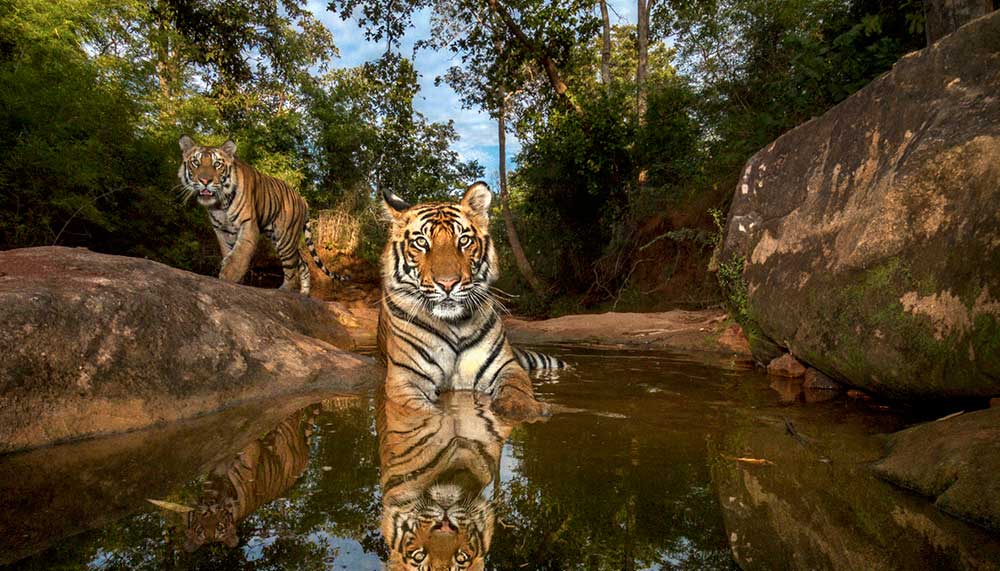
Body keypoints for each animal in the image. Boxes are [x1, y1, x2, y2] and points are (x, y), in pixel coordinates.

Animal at [178, 135, 347, 295]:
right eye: (196, 162)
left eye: (217, 164)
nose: (205, 180)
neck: (220, 204)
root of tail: (303, 200)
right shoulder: (222, 231)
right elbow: (229, 252)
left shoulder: (248, 224)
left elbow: (240, 254)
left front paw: (228, 276)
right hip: (280, 239)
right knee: (303, 264)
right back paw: (304, 294)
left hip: (285, 238)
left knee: (291, 269)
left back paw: (284, 290)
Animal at [376, 181, 566, 421]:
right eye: (421, 242)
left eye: (463, 240)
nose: (448, 284)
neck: (454, 324)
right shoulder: (405, 380)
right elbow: (425, 413)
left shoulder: (505, 366)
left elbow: (517, 389)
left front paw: (524, 409)